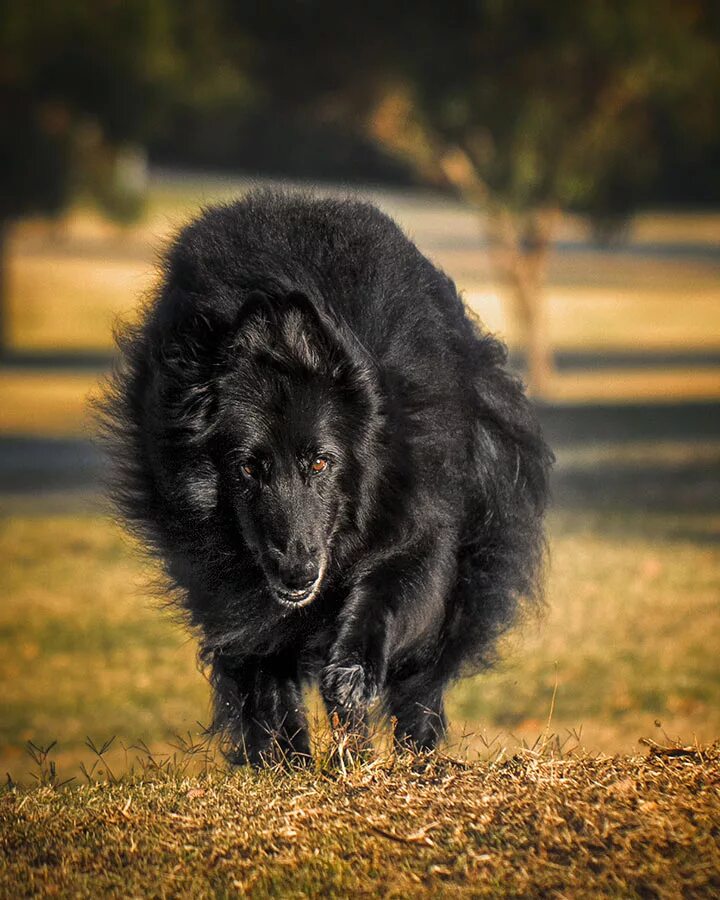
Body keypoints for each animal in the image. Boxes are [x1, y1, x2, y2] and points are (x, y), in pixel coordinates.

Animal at [100, 192, 552, 768]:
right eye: (248, 467)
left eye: (320, 462)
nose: (297, 576)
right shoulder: (225, 592)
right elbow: (263, 676)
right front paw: (285, 761)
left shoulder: (417, 526)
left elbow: (386, 594)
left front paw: (353, 674)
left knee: (423, 679)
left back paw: (414, 754)